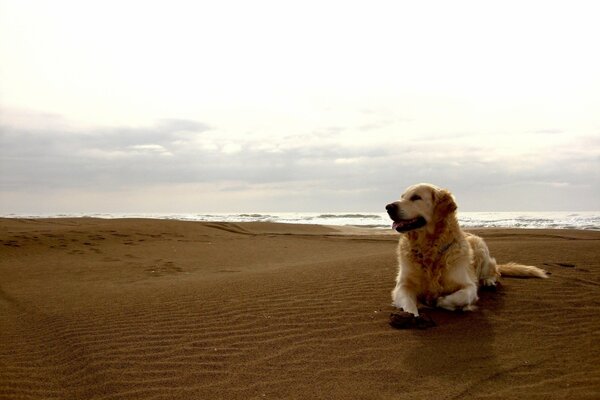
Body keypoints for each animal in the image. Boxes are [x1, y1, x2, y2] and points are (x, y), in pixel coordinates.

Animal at [386, 183, 548, 318]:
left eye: (416, 197)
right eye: (402, 197)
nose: (388, 207)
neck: (430, 249)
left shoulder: (468, 285)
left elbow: (460, 296)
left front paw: (440, 301)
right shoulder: (402, 285)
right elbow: (408, 303)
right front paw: (411, 316)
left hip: (480, 246)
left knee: (495, 272)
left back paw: (489, 281)